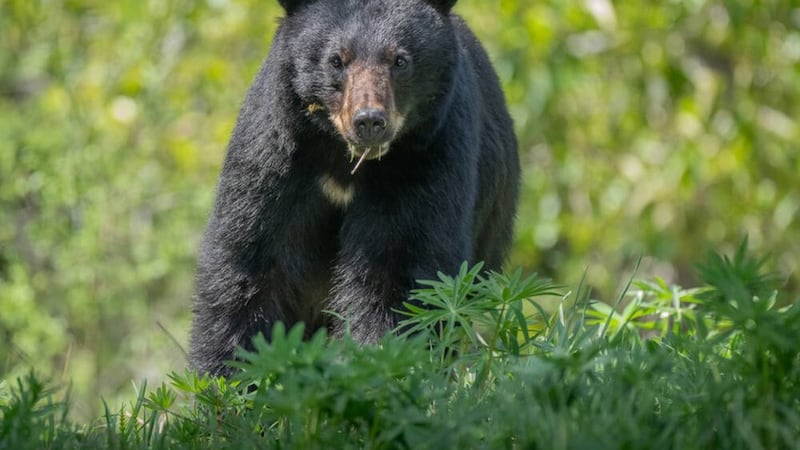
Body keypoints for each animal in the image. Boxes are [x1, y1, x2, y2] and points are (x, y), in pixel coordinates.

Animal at [189, 0, 519, 376]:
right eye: (336, 60)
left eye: (400, 60)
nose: (369, 121)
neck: (344, 161)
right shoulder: (277, 155)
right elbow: (250, 262)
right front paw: (225, 376)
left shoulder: (428, 156)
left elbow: (397, 268)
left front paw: (376, 362)